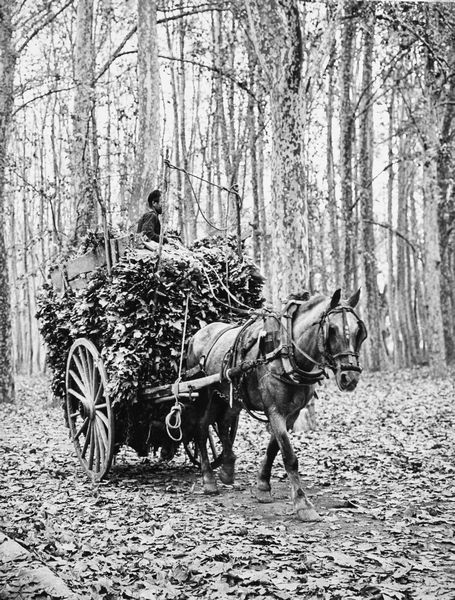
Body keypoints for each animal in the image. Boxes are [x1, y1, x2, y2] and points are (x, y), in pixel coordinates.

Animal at [185, 288, 366, 520]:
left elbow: (273, 448)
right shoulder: (275, 410)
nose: (350, 377)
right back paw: (209, 479)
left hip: (229, 397)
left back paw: (227, 467)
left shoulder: (291, 414)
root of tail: (196, 335)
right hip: (205, 394)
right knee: (201, 427)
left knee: (223, 424)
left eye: (359, 331)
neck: (286, 351)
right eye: (332, 330)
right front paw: (303, 504)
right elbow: (289, 456)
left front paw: (263, 487)